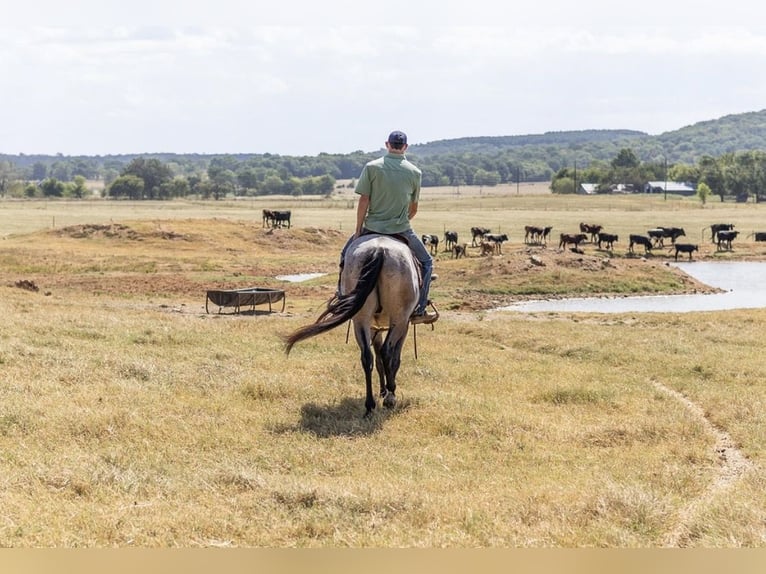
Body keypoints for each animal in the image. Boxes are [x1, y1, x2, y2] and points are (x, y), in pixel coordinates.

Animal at [284, 234, 423, 417]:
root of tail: (379, 249)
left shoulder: (374, 327)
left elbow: (378, 360)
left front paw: (382, 390)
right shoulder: (404, 324)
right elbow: (394, 359)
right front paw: (388, 392)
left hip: (361, 319)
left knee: (367, 357)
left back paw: (370, 405)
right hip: (398, 318)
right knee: (386, 352)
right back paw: (389, 398)